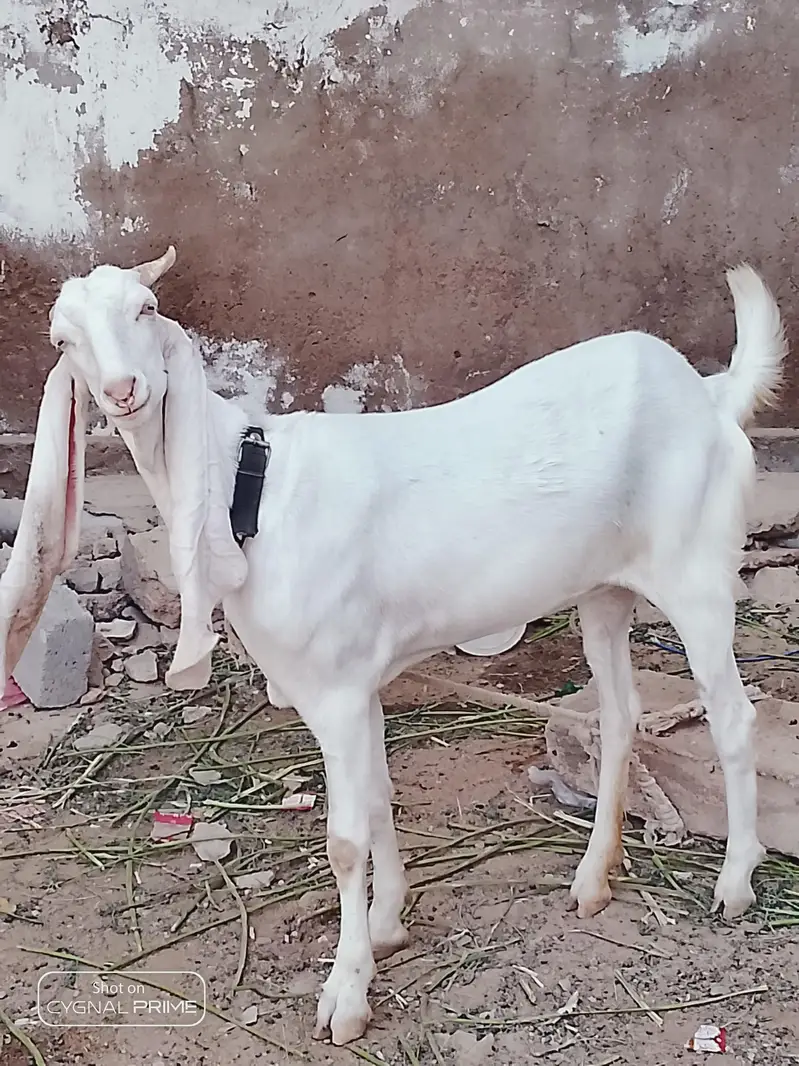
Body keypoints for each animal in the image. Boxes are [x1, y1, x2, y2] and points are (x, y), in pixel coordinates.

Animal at [0, 248, 786, 1045]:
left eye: (147, 308)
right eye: (65, 339)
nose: (123, 390)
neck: (251, 488)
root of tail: (710, 397)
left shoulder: (338, 690)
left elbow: (345, 840)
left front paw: (346, 995)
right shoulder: (358, 685)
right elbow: (377, 798)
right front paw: (385, 926)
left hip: (695, 573)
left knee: (731, 717)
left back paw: (734, 883)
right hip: (603, 589)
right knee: (620, 715)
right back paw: (594, 878)